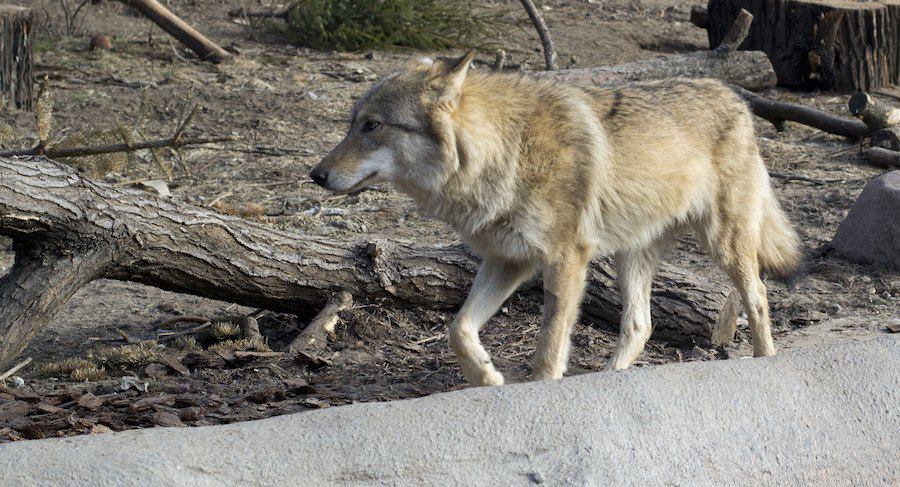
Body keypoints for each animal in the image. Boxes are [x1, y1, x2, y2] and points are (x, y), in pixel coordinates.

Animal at [312, 53, 800, 386]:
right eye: (353, 123)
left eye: (372, 126)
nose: (316, 175)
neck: (505, 151)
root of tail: (735, 96)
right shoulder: (508, 260)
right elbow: (458, 330)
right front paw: (487, 378)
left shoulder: (565, 259)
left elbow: (548, 350)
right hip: (631, 257)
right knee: (639, 325)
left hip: (724, 245)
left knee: (758, 298)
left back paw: (765, 360)